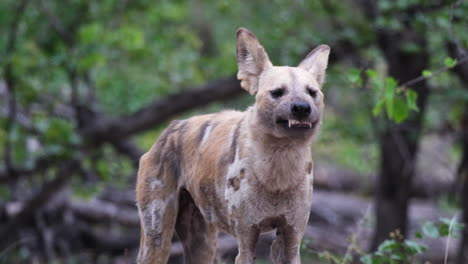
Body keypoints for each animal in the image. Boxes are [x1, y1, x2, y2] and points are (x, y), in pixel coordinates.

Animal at [137, 27, 330, 262]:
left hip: (202, 244)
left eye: (312, 93)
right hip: (157, 240)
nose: (302, 108)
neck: (278, 172)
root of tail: (171, 127)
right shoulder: (246, 241)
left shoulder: (291, 241)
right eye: (277, 92)